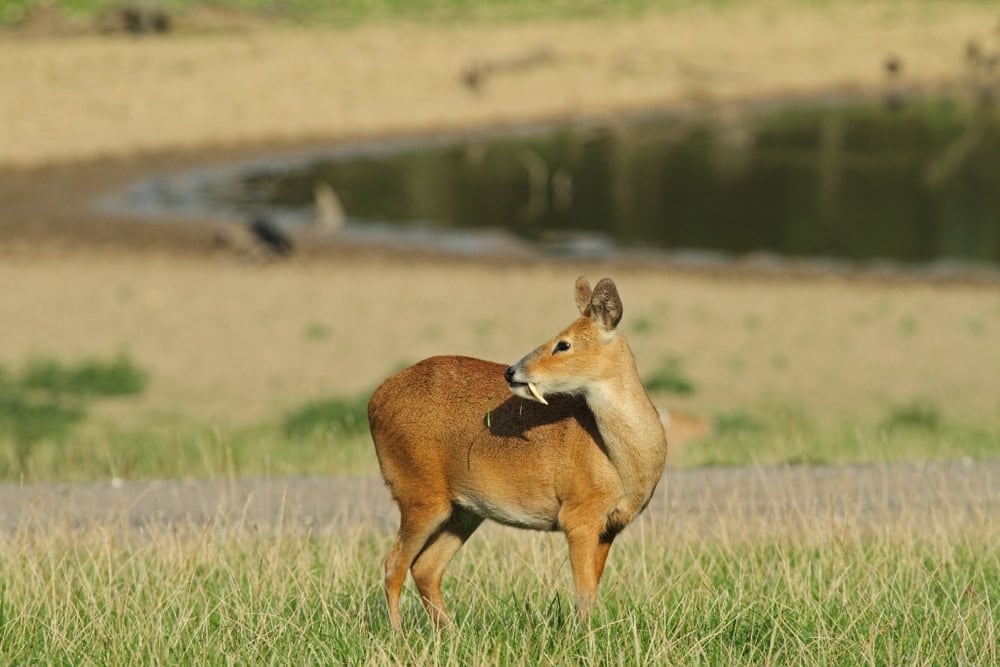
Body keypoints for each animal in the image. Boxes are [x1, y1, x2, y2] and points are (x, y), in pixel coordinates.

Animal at [367, 276, 668, 630]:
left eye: (563, 345)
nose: (512, 371)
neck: (622, 462)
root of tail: (375, 400)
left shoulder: (611, 526)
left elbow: (592, 588)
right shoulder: (578, 514)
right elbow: (584, 593)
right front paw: (584, 636)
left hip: (463, 511)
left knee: (424, 568)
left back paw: (451, 633)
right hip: (418, 493)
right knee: (393, 566)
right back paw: (399, 634)